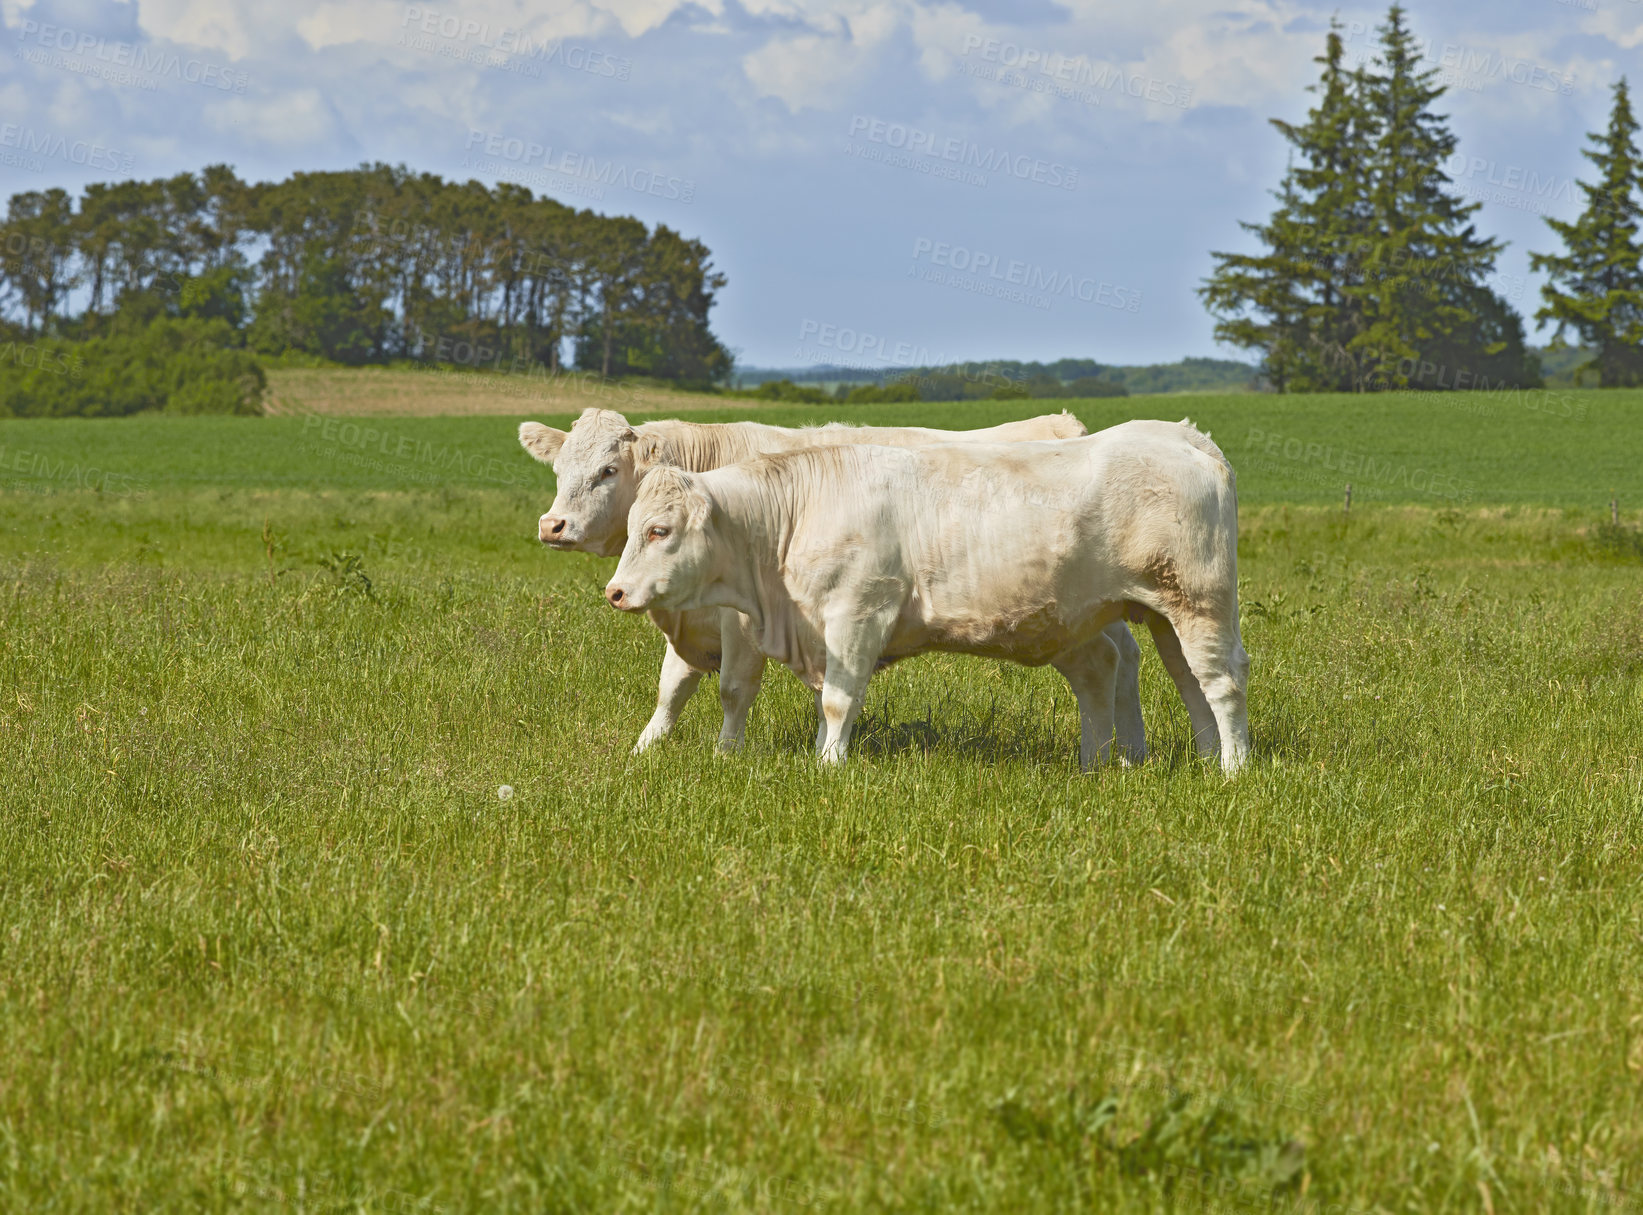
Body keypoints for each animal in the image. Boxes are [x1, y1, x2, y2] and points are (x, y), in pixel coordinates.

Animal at [603, 419, 1249, 773]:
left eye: (659, 530)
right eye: (631, 527)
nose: (615, 591)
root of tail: (1183, 437)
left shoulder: (859, 613)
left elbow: (838, 700)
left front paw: (829, 765)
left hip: (1200, 601)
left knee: (1221, 681)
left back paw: (1233, 771)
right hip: (1151, 615)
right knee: (1170, 679)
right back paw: (1179, 760)